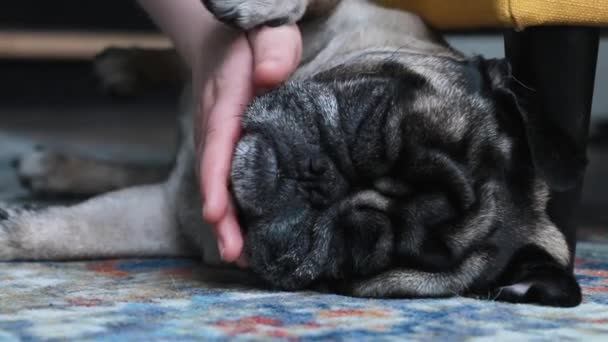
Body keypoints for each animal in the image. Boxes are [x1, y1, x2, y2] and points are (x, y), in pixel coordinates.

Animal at [2, 0, 588, 308]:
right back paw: (124, 65)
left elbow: (75, 233)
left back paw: (59, 164)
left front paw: (14, 233)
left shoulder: (173, 221)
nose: (318, 181)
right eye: (370, 113)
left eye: (356, 250)